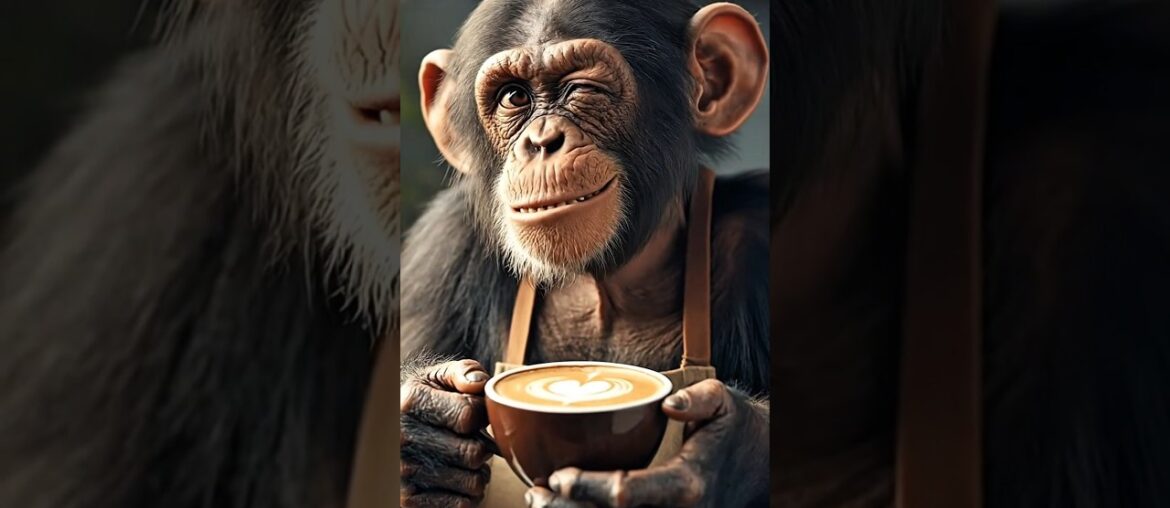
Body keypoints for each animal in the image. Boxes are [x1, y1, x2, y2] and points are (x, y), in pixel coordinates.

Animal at [399, 1, 770, 507]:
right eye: (513, 97)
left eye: (581, 89)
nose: (541, 142)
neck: (602, 289)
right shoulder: (441, 249)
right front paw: (426, 435)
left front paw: (723, 452)